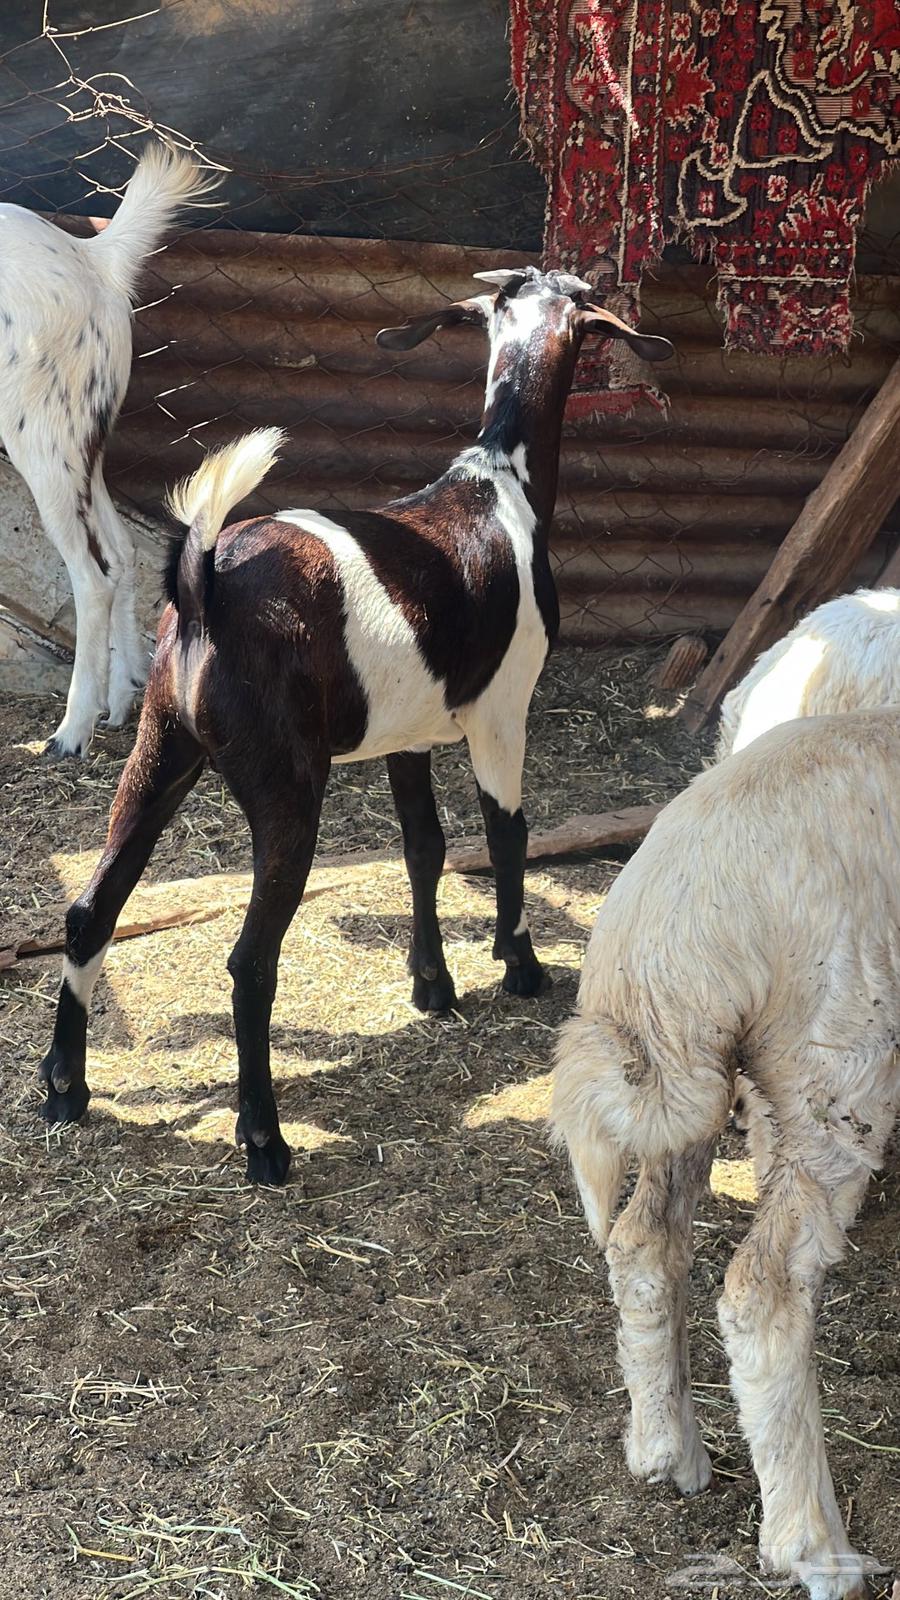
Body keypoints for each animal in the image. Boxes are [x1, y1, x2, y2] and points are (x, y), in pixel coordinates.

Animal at [0, 142, 217, 755]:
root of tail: (92, 257)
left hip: (41, 434)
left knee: (92, 574)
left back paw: (73, 730)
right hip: (82, 434)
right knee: (120, 552)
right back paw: (121, 698)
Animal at [37, 266, 674, 1182]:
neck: (499, 487)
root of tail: (204, 584)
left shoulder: (408, 735)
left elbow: (426, 848)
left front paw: (433, 984)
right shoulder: (503, 709)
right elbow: (506, 833)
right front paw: (519, 965)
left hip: (161, 748)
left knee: (92, 909)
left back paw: (64, 1088)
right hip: (286, 786)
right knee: (250, 960)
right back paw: (264, 1140)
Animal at [552, 710, 900, 1600]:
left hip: (686, 1083)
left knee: (644, 1247)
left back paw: (666, 1450)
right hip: (838, 1069)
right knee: (764, 1294)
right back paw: (815, 1549)